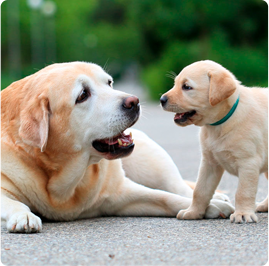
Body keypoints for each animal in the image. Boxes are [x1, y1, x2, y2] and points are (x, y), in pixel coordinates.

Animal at [0, 61, 232, 232]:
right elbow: (12, 202)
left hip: (153, 161)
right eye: (82, 95)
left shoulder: (121, 192)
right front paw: (24, 215)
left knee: (178, 185)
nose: (134, 102)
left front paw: (207, 207)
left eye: (109, 83)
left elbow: (167, 197)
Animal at [160, 59, 266, 222]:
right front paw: (193, 212)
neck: (220, 124)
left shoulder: (248, 163)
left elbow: (243, 192)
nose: (162, 100)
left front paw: (243, 214)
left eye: (186, 87)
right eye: (175, 83)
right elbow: (200, 190)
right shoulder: (209, 163)